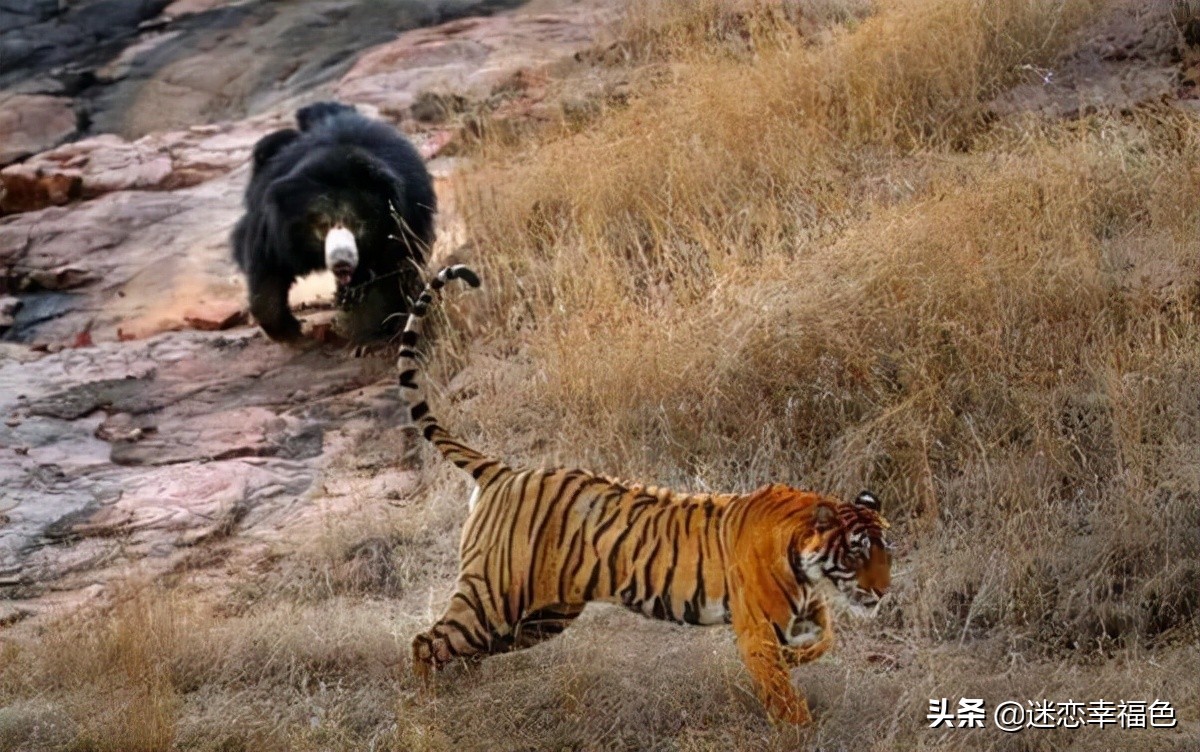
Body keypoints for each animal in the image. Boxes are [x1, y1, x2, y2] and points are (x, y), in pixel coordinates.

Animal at [231, 101, 436, 342]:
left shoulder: (405, 220)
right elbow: (267, 266)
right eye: (322, 225)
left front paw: (359, 325)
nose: (341, 262)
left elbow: (391, 271)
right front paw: (291, 333)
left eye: (358, 224)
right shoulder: (275, 224)